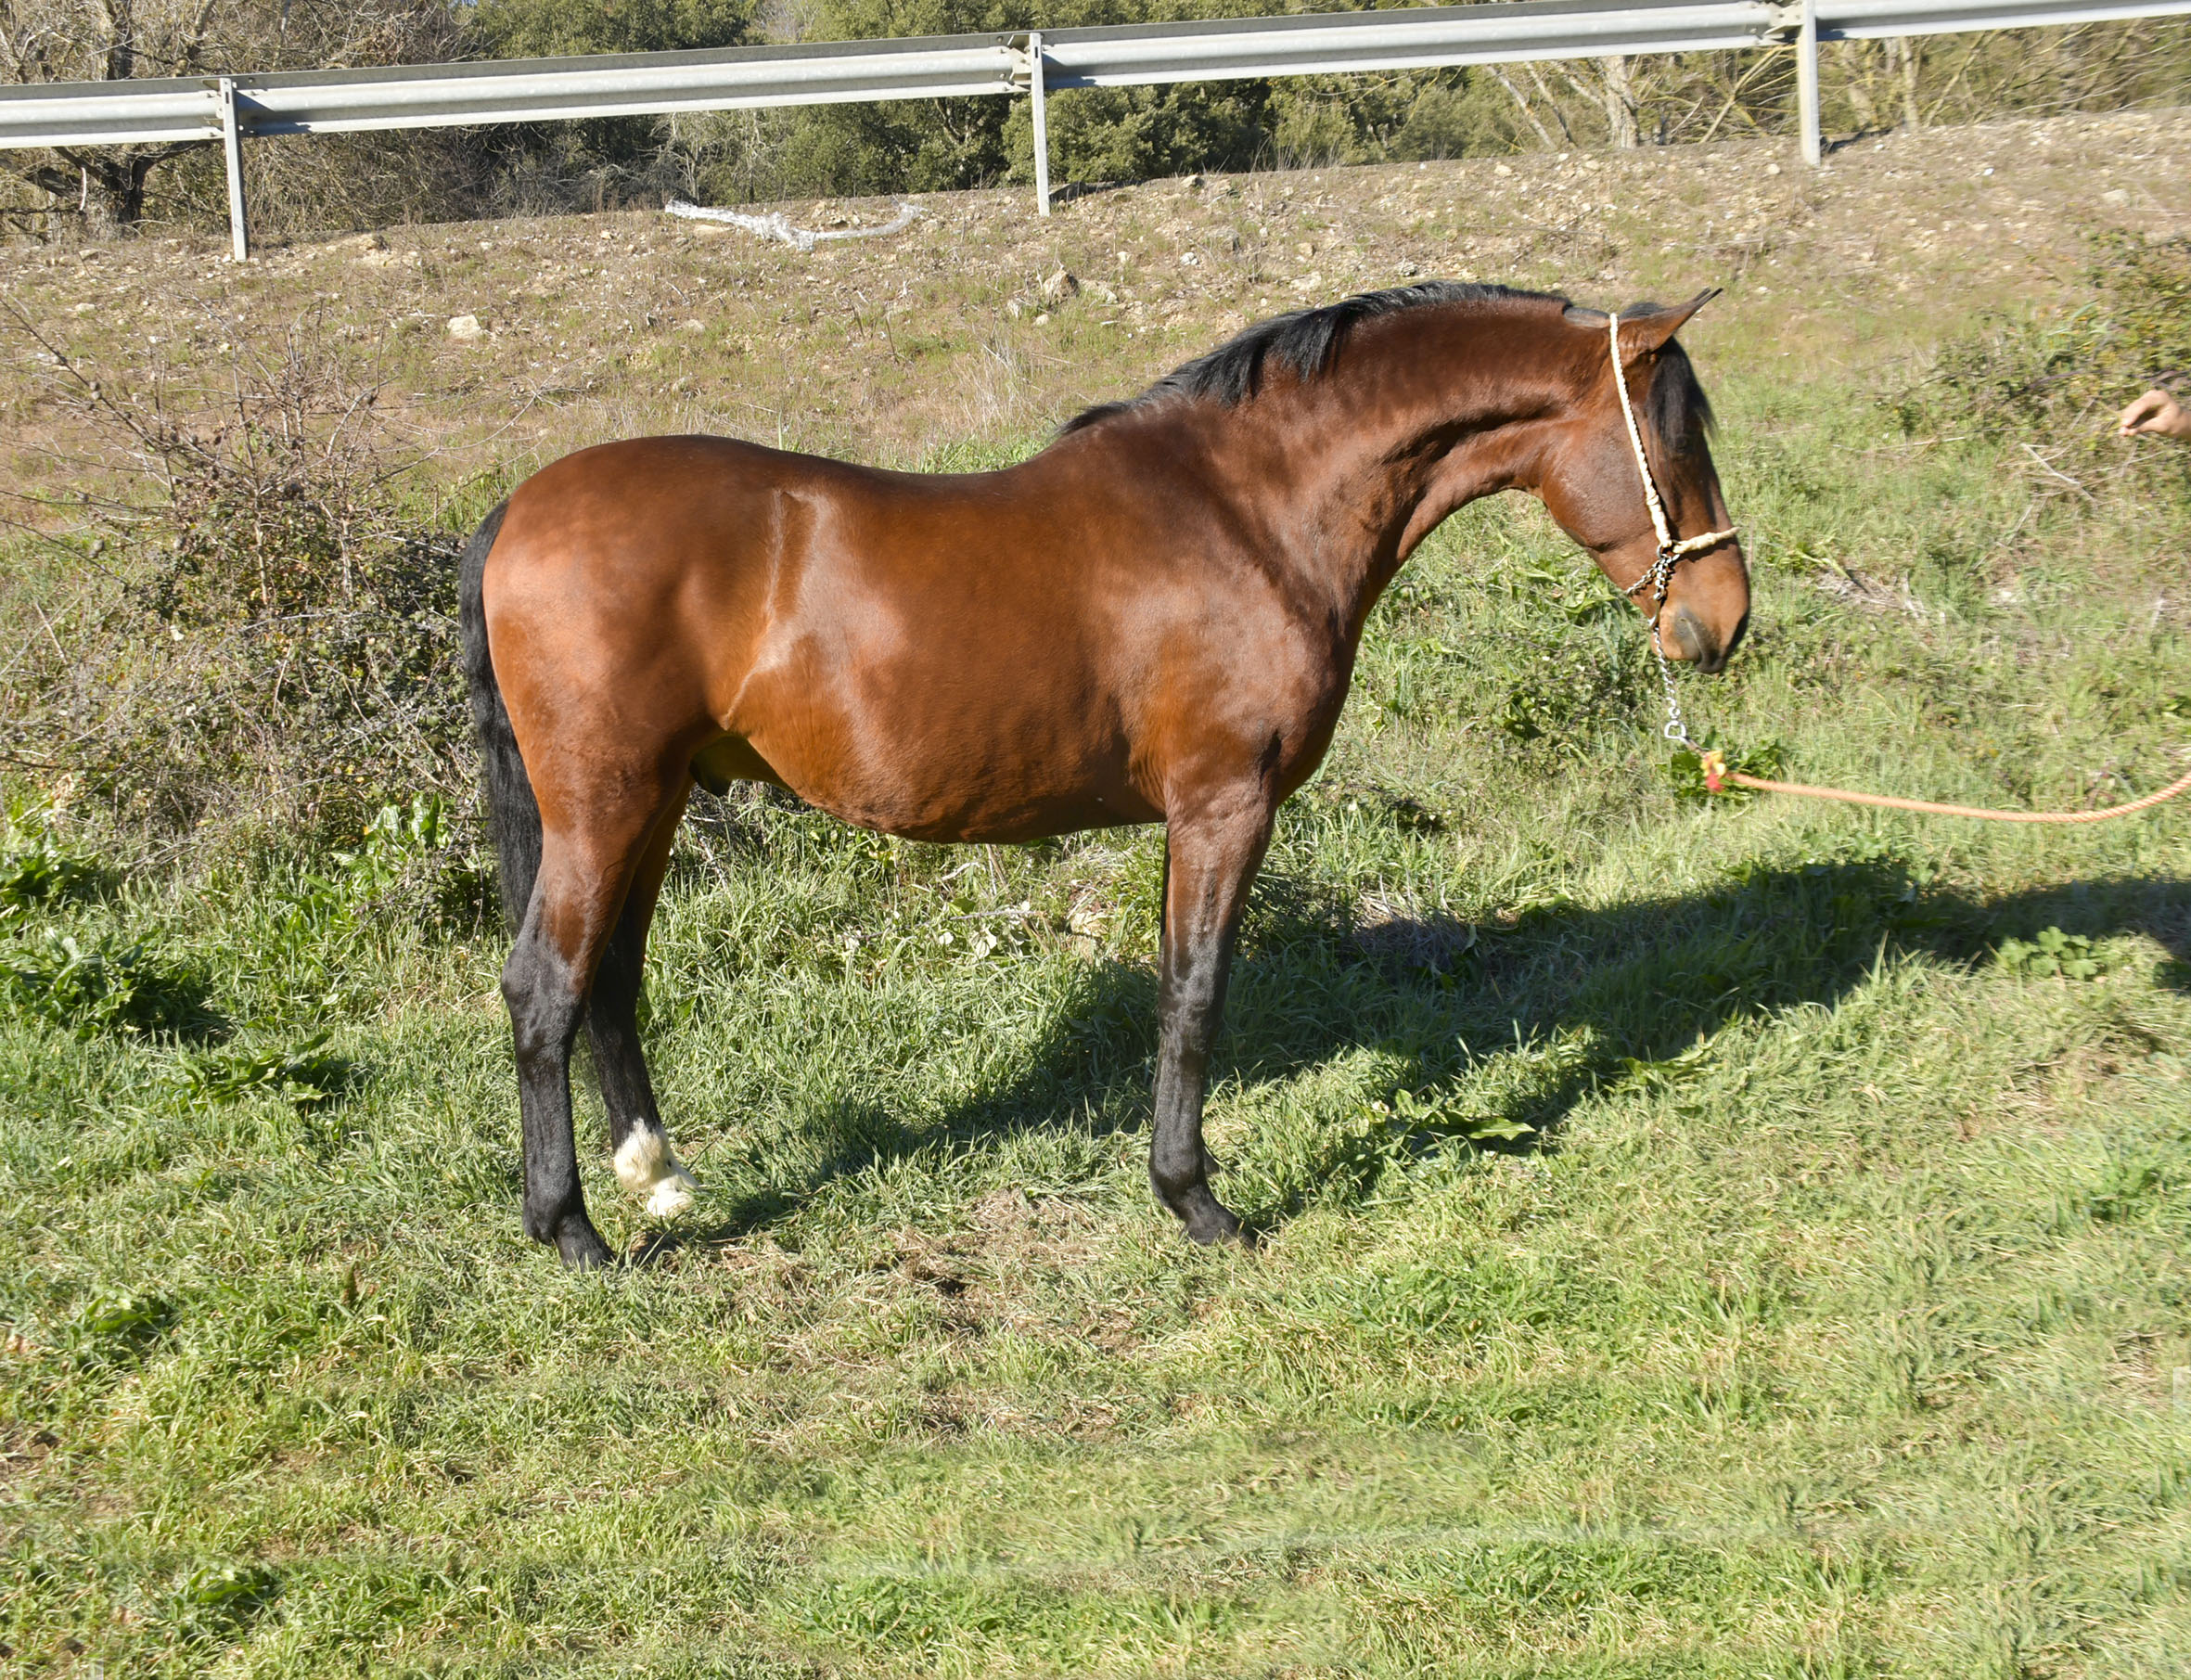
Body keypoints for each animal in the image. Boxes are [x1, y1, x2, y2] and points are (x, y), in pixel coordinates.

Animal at [457, 282, 1744, 1270]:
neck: (1249, 509)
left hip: (656, 799)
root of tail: (518, 507)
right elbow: (1193, 994)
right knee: (543, 988)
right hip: (605, 804)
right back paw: (571, 1229)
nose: (1723, 622)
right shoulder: (1224, 804)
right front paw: (1196, 1201)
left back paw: (657, 1174)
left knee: (610, 979)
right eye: (1677, 442)